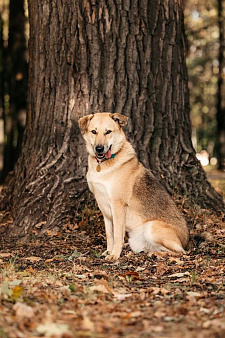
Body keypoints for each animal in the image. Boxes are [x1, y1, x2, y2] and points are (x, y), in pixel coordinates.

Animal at [78, 112, 189, 260]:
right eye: (94, 132)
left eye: (108, 132)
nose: (99, 149)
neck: (103, 165)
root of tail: (187, 241)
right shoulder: (104, 209)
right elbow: (109, 234)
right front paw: (108, 251)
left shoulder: (118, 205)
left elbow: (117, 235)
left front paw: (114, 255)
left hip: (152, 227)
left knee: (181, 252)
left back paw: (156, 254)